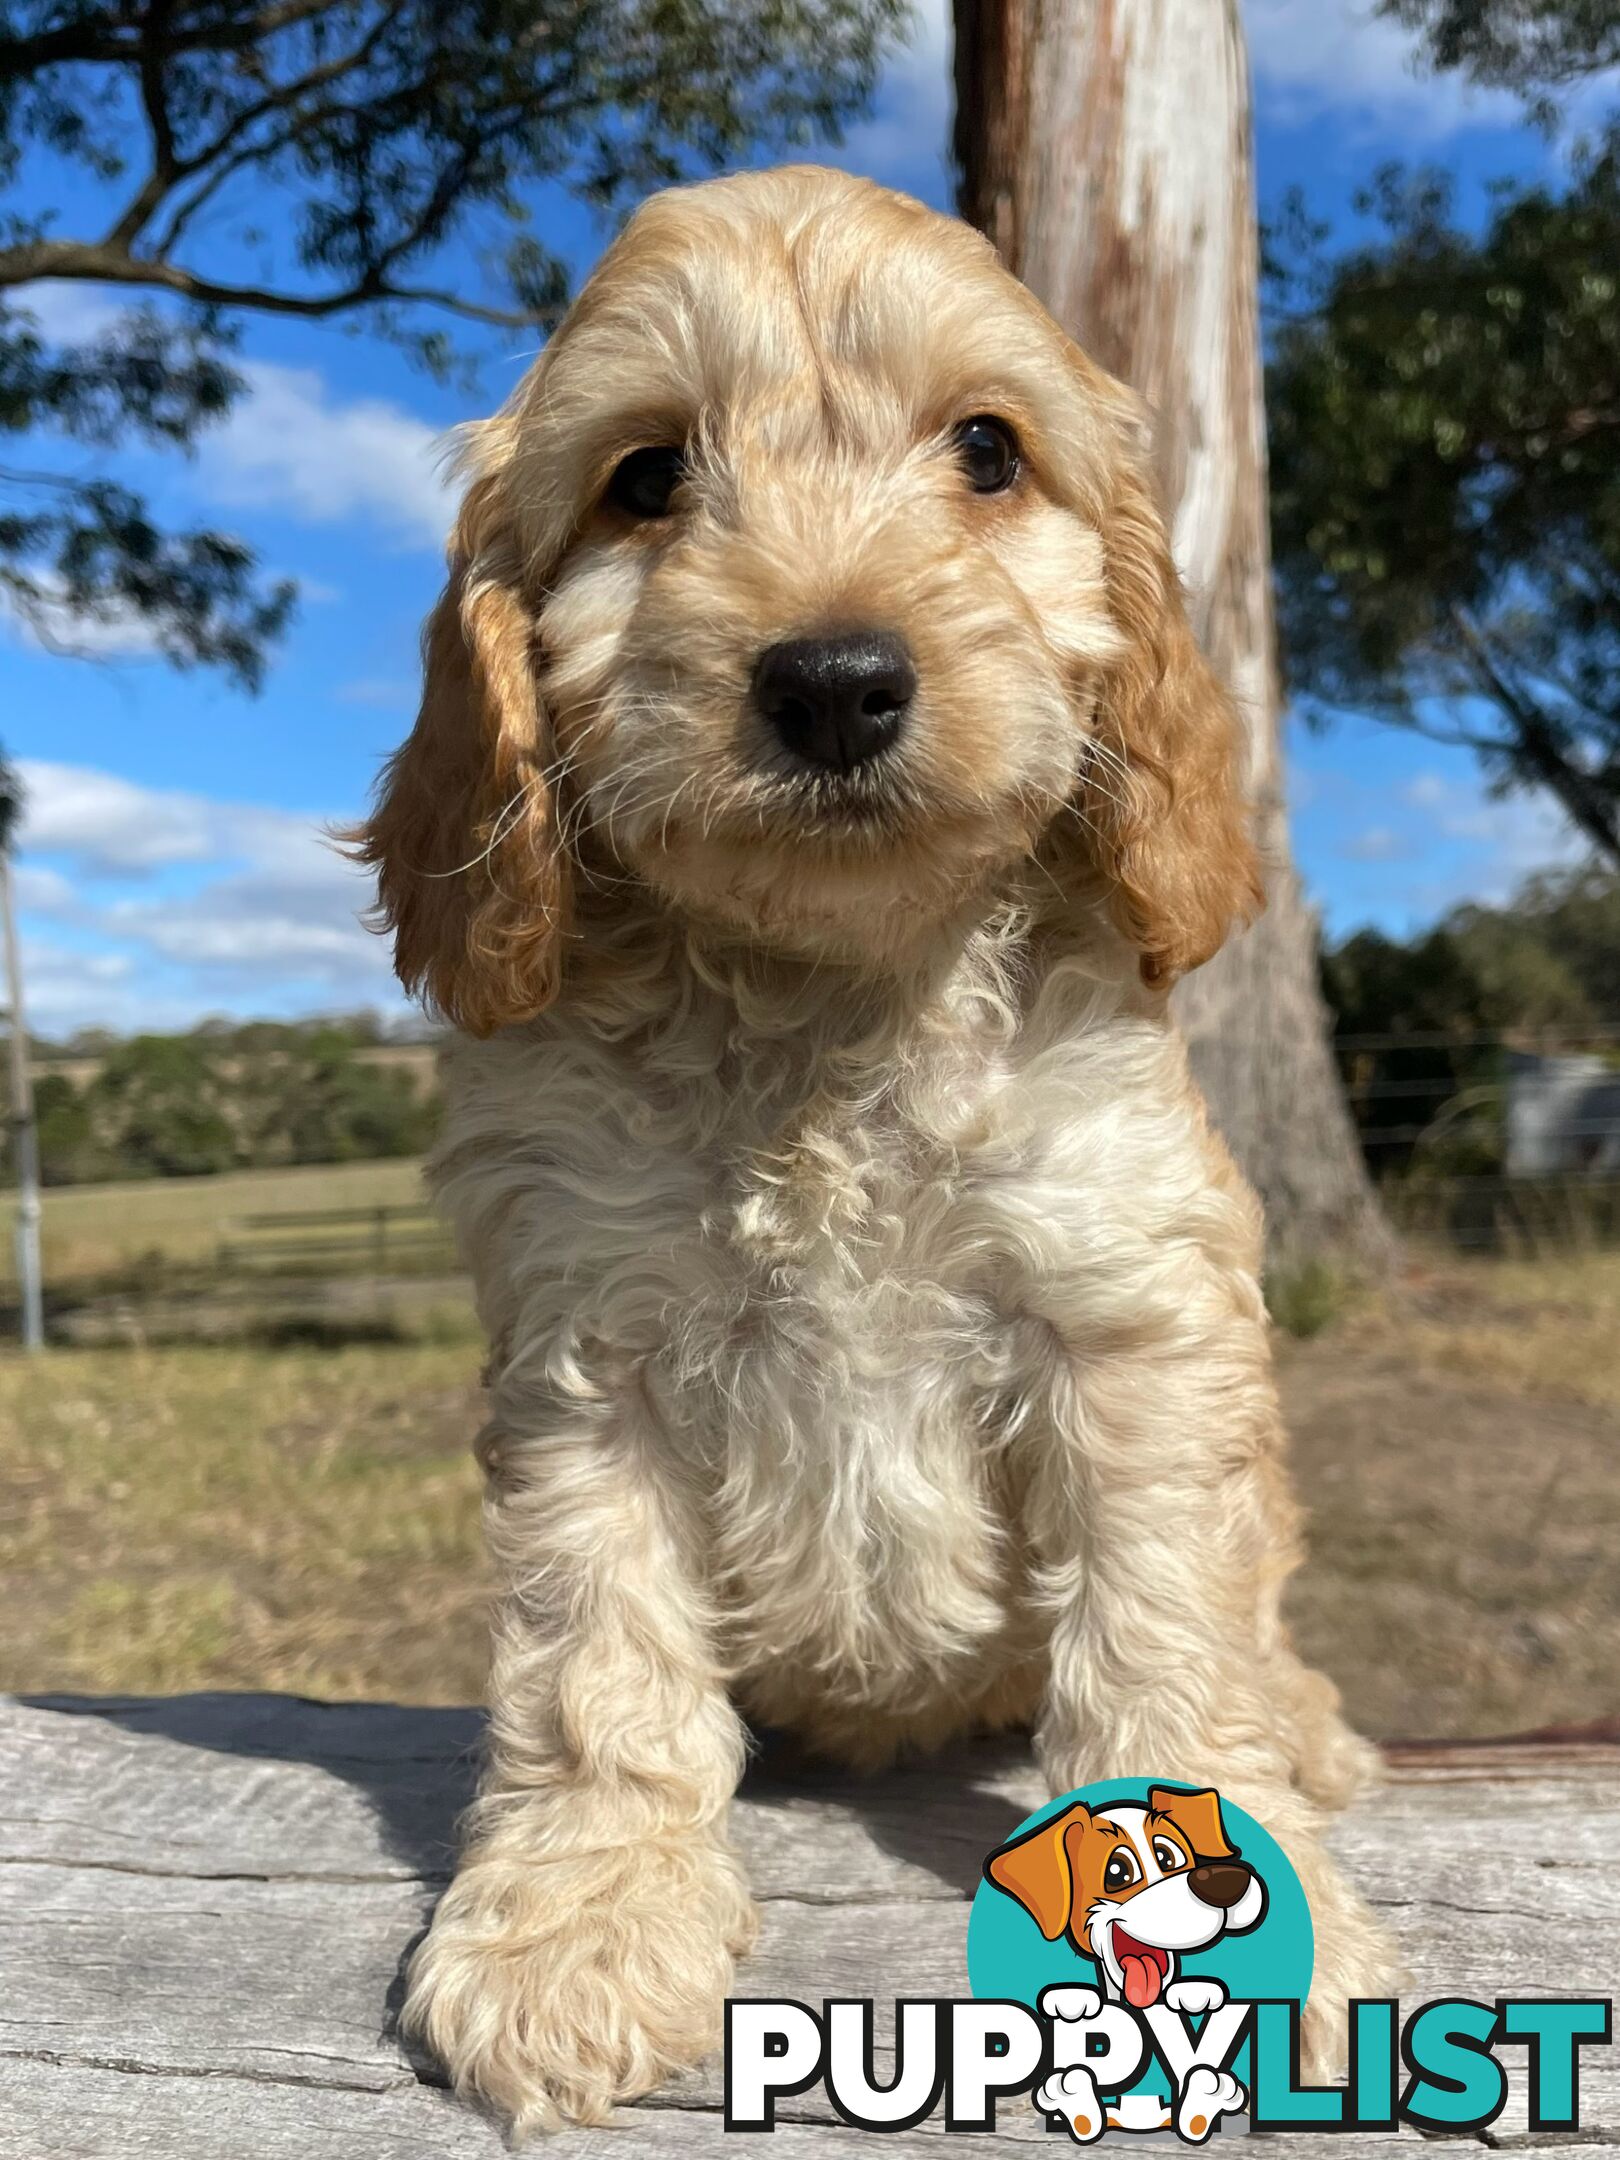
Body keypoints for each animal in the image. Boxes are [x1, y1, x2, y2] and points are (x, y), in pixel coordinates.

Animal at [354, 164, 1399, 2125]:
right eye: (646, 476)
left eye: (987, 449)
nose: (835, 681)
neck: (835, 994)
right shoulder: (588, 1346)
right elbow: (597, 1658)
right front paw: (581, 1917)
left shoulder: (1120, 1304)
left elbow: (1167, 1625)